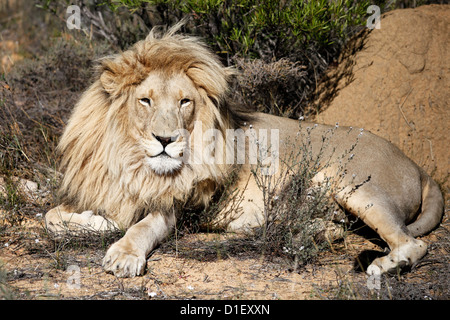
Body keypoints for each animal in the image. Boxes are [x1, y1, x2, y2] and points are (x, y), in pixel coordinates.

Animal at [44, 22, 442, 278]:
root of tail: (422, 169)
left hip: (347, 180)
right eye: (145, 100)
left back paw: (382, 268)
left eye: (185, 102)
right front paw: (90, 221)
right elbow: (52, 216)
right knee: (337, 229)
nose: (166, 140)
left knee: (412, 244)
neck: (130, 158)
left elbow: (141, 227)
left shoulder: (179, 207)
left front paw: (123, 256)